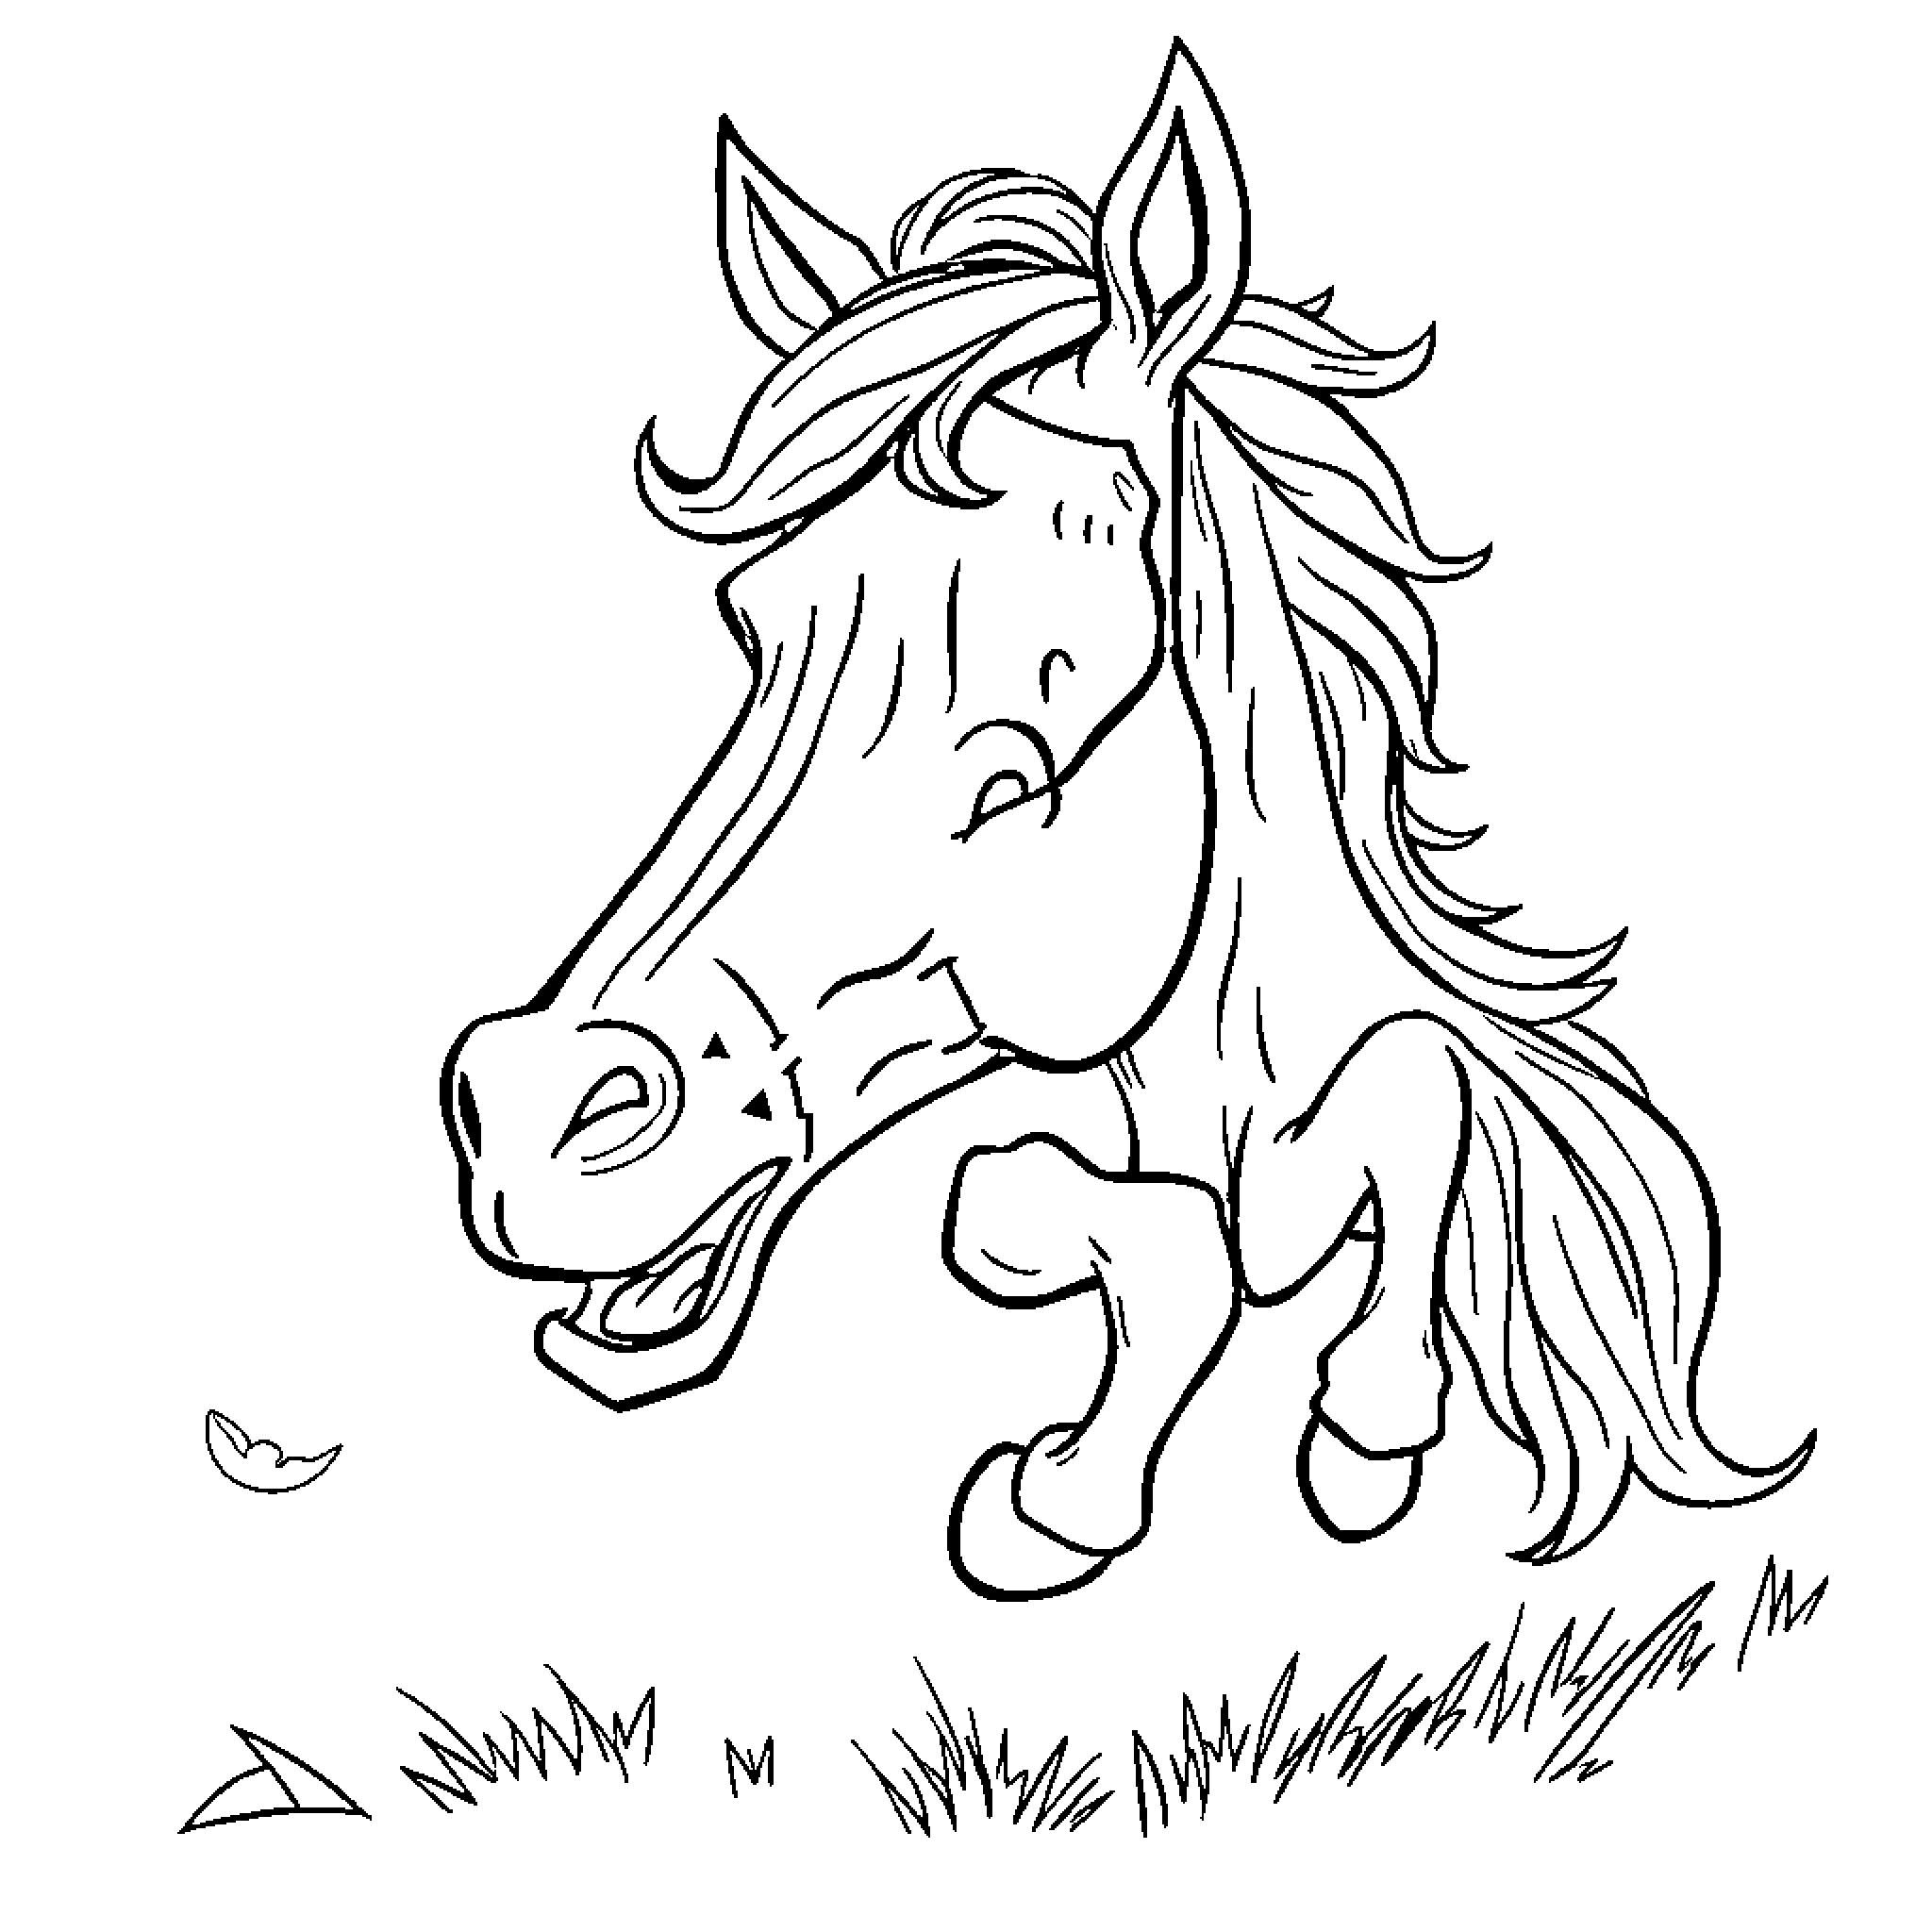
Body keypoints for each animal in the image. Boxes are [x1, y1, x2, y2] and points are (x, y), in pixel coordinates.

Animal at [440, 42, 1812, 1600]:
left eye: (1026, 747)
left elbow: (1415, 1084)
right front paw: (1077, 1484)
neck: (1214, 1084)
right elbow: (1067, 1210)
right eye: (759, 630)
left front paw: (1353, 1437)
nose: (535, 1119)